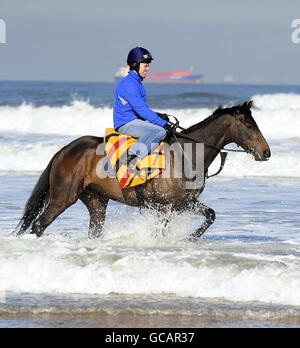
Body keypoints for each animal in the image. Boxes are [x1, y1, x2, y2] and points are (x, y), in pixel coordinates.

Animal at [15, 100, 270, 241]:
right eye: (249, 125)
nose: (266, 152)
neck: (186, 156)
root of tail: (64, 150)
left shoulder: (184, 204)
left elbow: (210, 215)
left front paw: (188, 239)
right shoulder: (165, 208)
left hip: (96, 201)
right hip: (63, 198)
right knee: (38, 225)